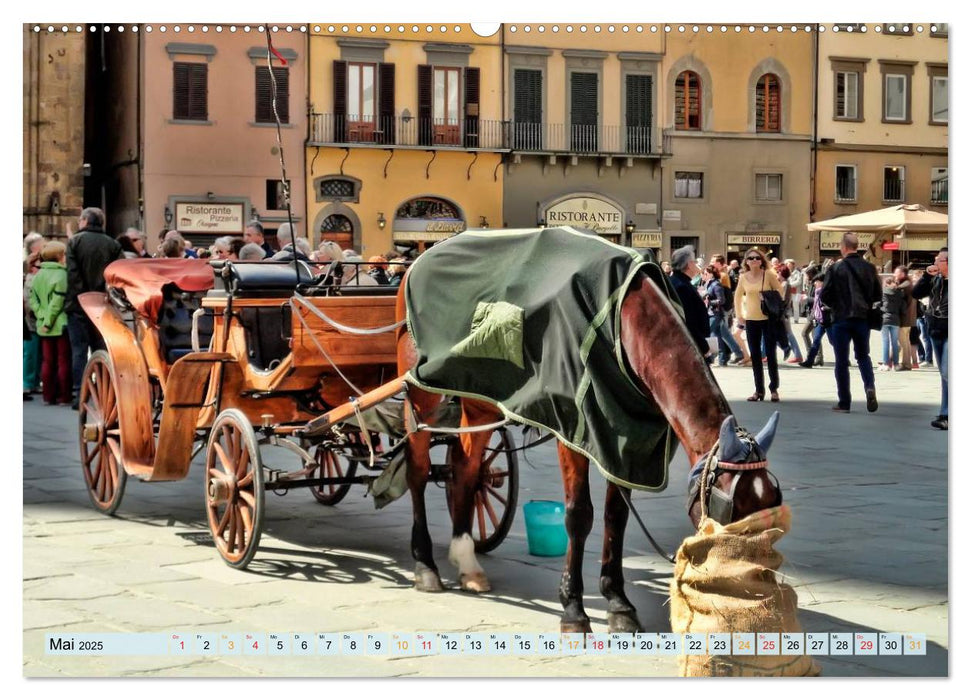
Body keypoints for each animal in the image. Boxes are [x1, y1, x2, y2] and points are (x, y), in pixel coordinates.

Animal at [392, 260, 780, 632]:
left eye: (771, 507)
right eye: (730, 511)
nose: (755, 589)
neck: (624, 324)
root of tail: (413, 265)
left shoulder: (626, 443)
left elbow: (615, 516)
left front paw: (618, 602)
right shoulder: (573, 431)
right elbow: (579, 515)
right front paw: (573, 608)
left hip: (480, 399)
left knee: (465, 469)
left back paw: (466, 560)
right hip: (421, 394)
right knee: (418, 470)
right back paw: (425, 564)